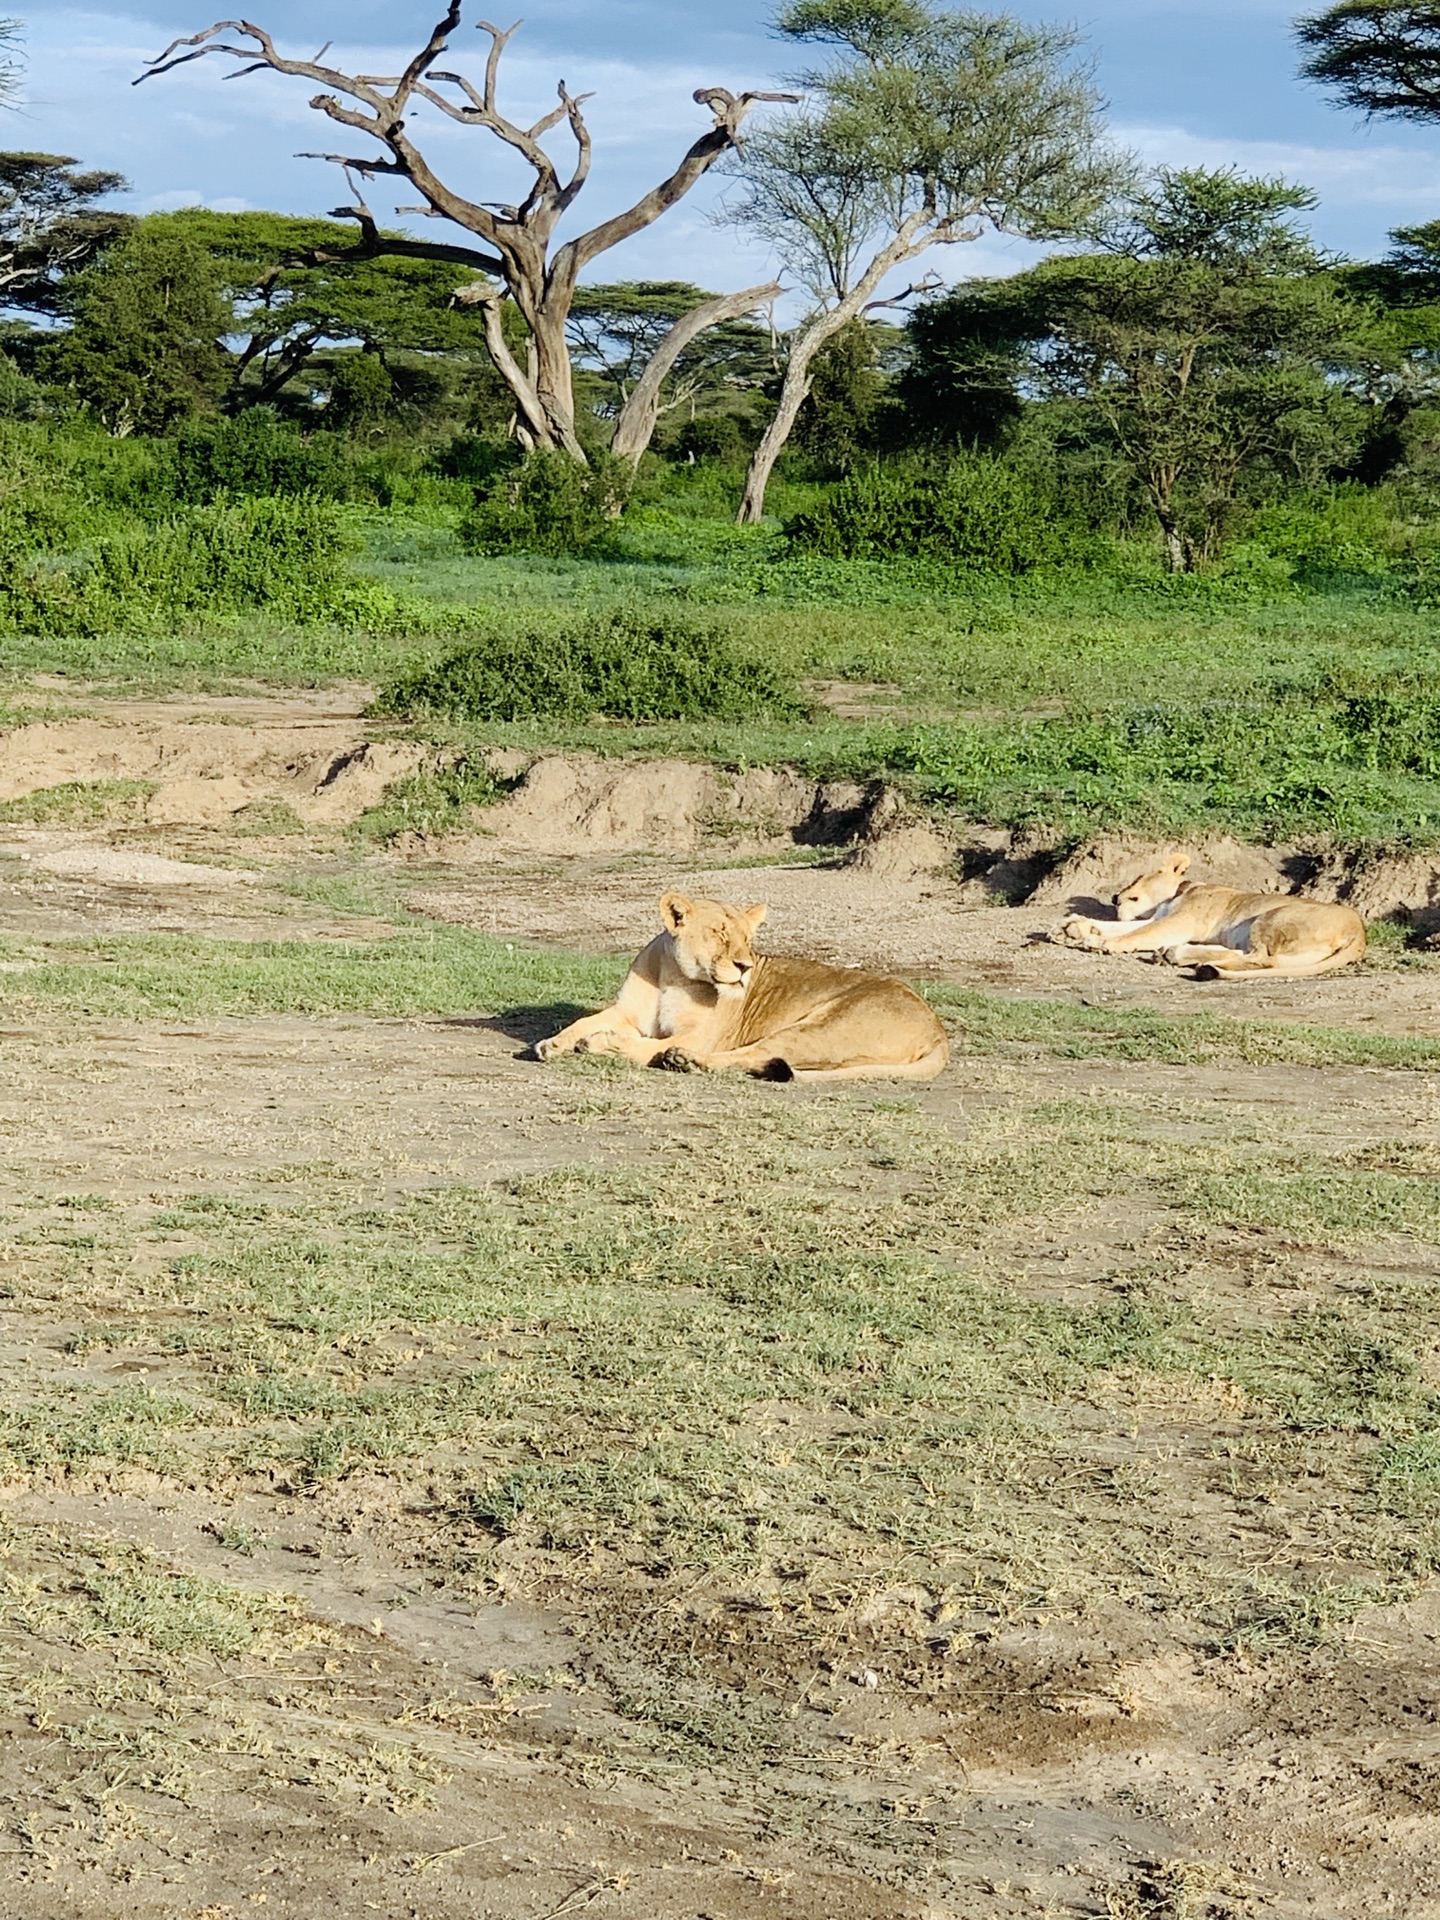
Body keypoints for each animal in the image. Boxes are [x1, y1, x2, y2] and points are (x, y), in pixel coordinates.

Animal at [537, 887, 952, 1075]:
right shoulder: (625, 1013)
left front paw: (599, 1043)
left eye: (748, 940)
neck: (673, 976)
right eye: (720, 934)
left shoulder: (699, 1034)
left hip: (821, 1027)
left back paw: (679, 1059)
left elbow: (643, 1044)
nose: (745, 966)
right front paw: (553, 1043)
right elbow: (584, 1020)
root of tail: (938, 1030)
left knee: (756, 1055)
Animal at [1067, 852, 1367, 975]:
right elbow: (1125, 927)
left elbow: (1138, 933)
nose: (1114, 896)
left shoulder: (1179, 921)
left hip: (1271, 917)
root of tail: (1360, 933)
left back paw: (1180, 956)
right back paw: (1176, 955)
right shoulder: (1161, 917)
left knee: (1263, 959)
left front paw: (1100, 942)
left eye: (1138, 877)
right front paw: (1075, 927)